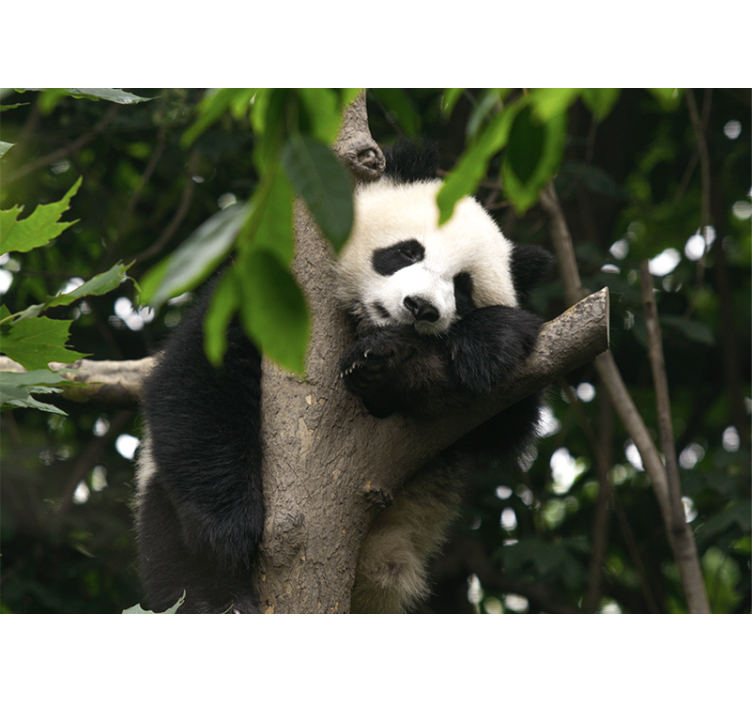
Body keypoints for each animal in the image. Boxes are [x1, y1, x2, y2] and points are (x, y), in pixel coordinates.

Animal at [135, 140, 552, 614]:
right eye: (408, 252)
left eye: (462, 287)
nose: (420, 306)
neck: (363, 324)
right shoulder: (263, 299)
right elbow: (199, 383)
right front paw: (232, 527)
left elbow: (507, 417)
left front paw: (462, 348)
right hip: (162, 506)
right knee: (180, 564)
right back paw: (225, 601)